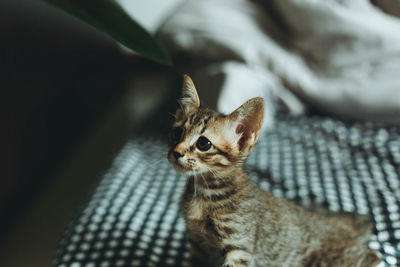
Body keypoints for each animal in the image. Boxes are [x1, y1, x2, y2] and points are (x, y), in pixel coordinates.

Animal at [167, 75, 380, 267]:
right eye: (176, 133)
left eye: (203, 143)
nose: (176, 152)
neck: (204, 193)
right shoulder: (197, 247)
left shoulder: (240, 248)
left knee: (371, 256)